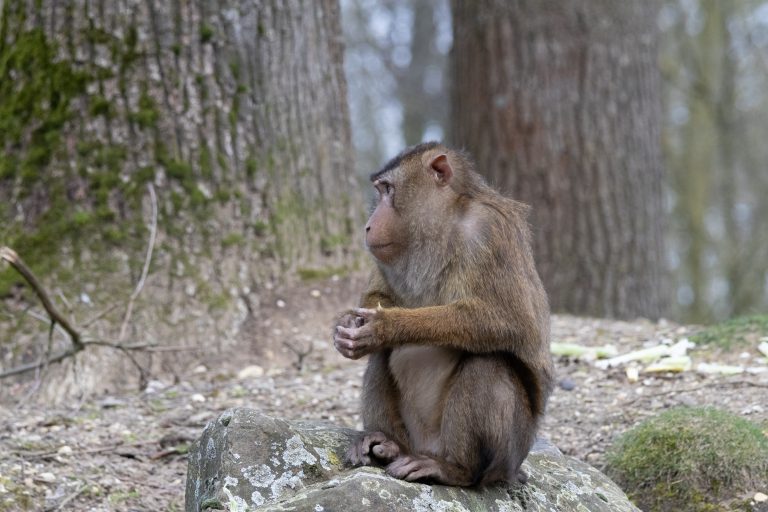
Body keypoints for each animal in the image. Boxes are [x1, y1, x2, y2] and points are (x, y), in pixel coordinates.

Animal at [332, 142, 552, 486]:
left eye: (388, 190)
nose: (368, 226)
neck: (442, 227)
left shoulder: (489, 232)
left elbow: (509, 322)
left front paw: (386, 326)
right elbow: (378, 296)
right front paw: (348, 325)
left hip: (508, 454)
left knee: (487, 362)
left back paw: (455, 469)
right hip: (413, 435)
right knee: (381, 356)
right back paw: (387, 443)